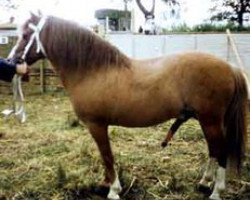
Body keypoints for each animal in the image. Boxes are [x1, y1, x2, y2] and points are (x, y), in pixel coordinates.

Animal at [9, 13, 248, 199]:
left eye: (25, 36)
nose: (11, 62)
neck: (93, 71)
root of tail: (230, 67)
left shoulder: (97, 125)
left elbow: (107, 156)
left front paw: (113, 190)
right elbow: (104, 157)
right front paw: (105, 184)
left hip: (210, 121)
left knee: (221, 151)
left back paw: (216, 191)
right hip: (205, 120)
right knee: (214, 150)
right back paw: (204, 182)